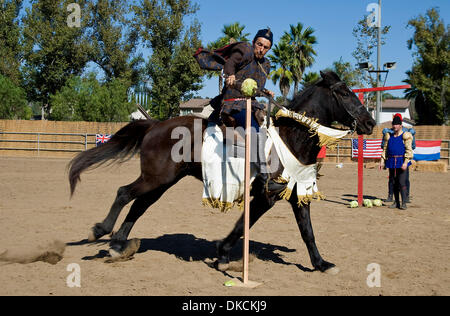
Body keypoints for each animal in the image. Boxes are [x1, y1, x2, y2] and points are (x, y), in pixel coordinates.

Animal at [67, 70, 376, 272]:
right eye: (344, 93)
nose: (370, 122)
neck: (291, 137)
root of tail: (155, 125)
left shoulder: (296, 193)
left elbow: (307, 231)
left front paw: (321, 264)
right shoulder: (266, 196)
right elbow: (242, 225)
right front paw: (223, 253)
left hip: (161, 182)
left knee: (138, 205)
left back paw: (119, 245)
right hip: (155, 178)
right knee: (123, 193)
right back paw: (101, 231)